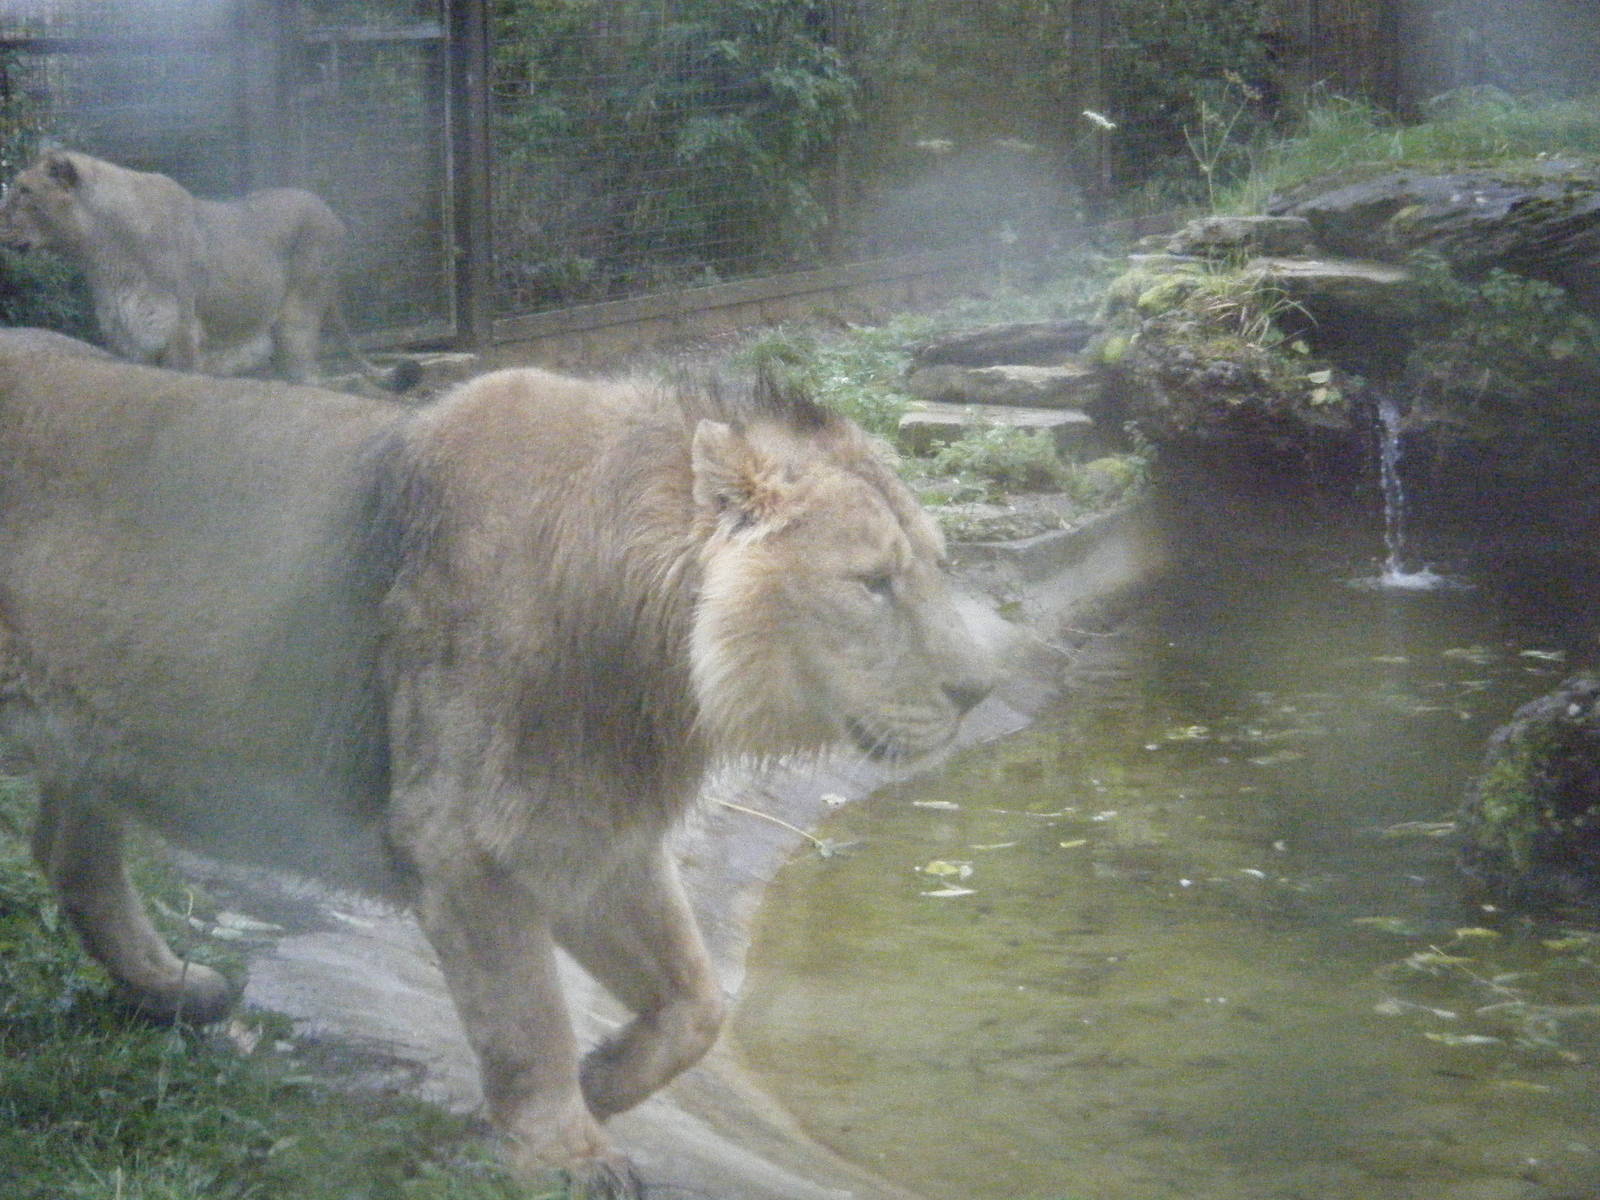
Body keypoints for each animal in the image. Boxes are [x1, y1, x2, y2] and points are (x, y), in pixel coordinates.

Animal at [0, 150, 416, 390]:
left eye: (23, 191)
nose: (0, 221)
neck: (102, 253)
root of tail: (328, 209)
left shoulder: (180, 332)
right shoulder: (128, 338)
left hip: (298, 318)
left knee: (309, 378)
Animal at [0, 332, 997, 1196]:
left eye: (939, 566)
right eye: (872, 583)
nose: (982, 689)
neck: (655, 673)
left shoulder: (600, 838)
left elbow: (701, 1003)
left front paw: (603, 1082)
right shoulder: (466, 847)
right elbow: (529, 1022)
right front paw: (569, 1151)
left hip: (91, 739)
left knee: (68, 854)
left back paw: (178, 992)